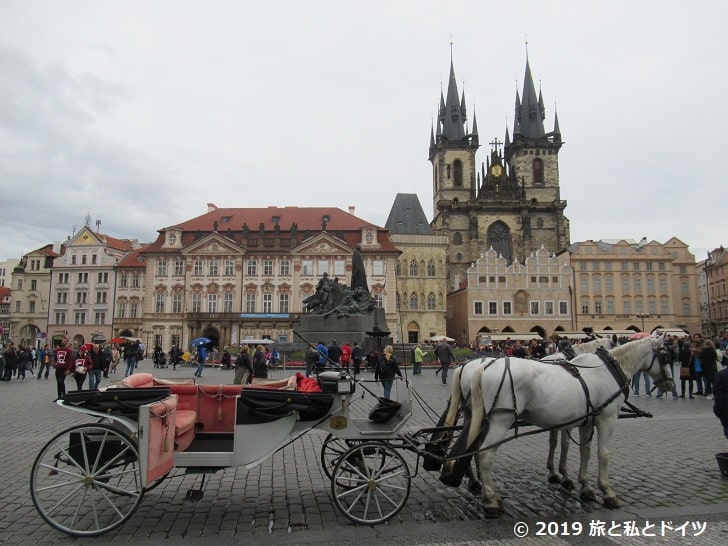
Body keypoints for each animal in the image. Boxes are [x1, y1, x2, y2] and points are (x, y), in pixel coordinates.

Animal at [438, 332, 672, 516]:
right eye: (665, 356)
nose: (669, 383)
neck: (605, 369)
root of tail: (471, 367)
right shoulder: (605, 417)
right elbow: (599, 453)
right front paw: (605, 492)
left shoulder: (579, 418)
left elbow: (580, 450)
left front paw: (579, 484)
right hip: (499, 419)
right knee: (485, 454)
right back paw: (491, 500)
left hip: (475, 415)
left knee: (473, 447)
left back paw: (477, 484)